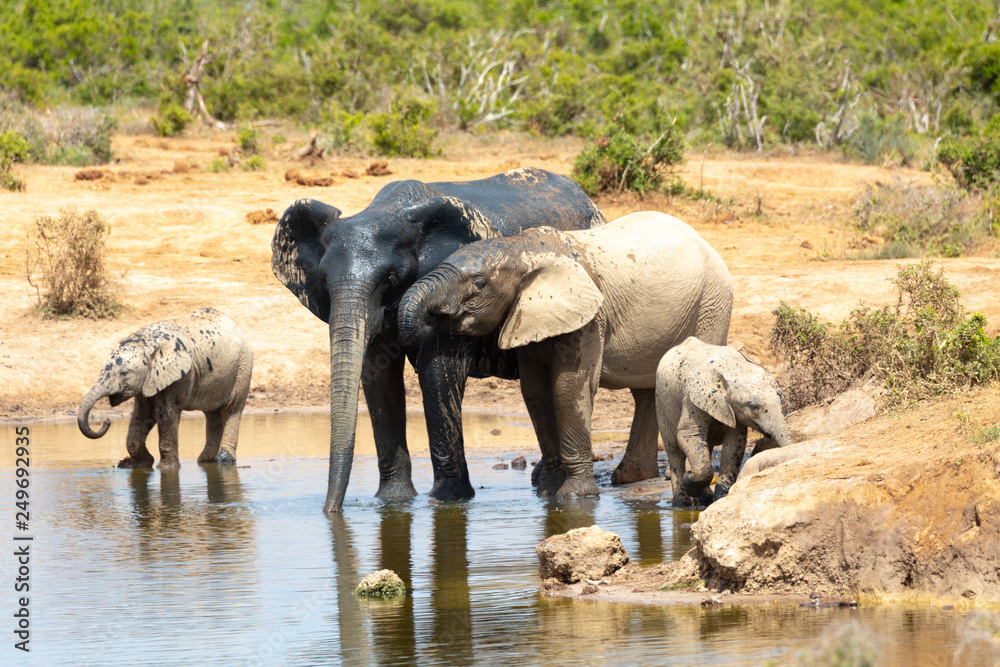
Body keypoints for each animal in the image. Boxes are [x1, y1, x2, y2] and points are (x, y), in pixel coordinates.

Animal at [77, 307, 254, 469]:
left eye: (124, 373)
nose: (107, 420)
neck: (147, 344)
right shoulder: (149, 381)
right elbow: (143, 416)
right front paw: (140, 464)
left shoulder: (181, 377)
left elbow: (165, 415)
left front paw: (166, 468)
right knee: (212, 414)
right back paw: (204, 461)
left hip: (243, 367)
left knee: (232, 409)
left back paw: (223, 460)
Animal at [270, 168, 604, 513]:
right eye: (323, 281)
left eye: (390, 278)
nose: (331, 512)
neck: (389, 210)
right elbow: (378, 378)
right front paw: (393, 501)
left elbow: (439, 372)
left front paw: (447, 501)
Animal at [398, 210, 733, 499]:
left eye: (479, 284)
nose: (431, 321)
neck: (521, 249)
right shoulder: (528, 317)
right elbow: (535, 392)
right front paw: (547, 494)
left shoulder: (591, 316)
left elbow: (568, 388)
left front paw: (574, 497)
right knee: (648, 391)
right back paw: (631, 478)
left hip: (712, 303)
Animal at [655, 336, 791, 507]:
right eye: (754, 406)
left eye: (781, 401)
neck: (733, 367)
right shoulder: (691, 397)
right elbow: (688, 434)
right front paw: (689, 482)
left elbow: (734, 444)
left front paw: (720, 499)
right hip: (661, 404)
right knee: (674, 450)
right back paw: (681, 504)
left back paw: (705, 499)